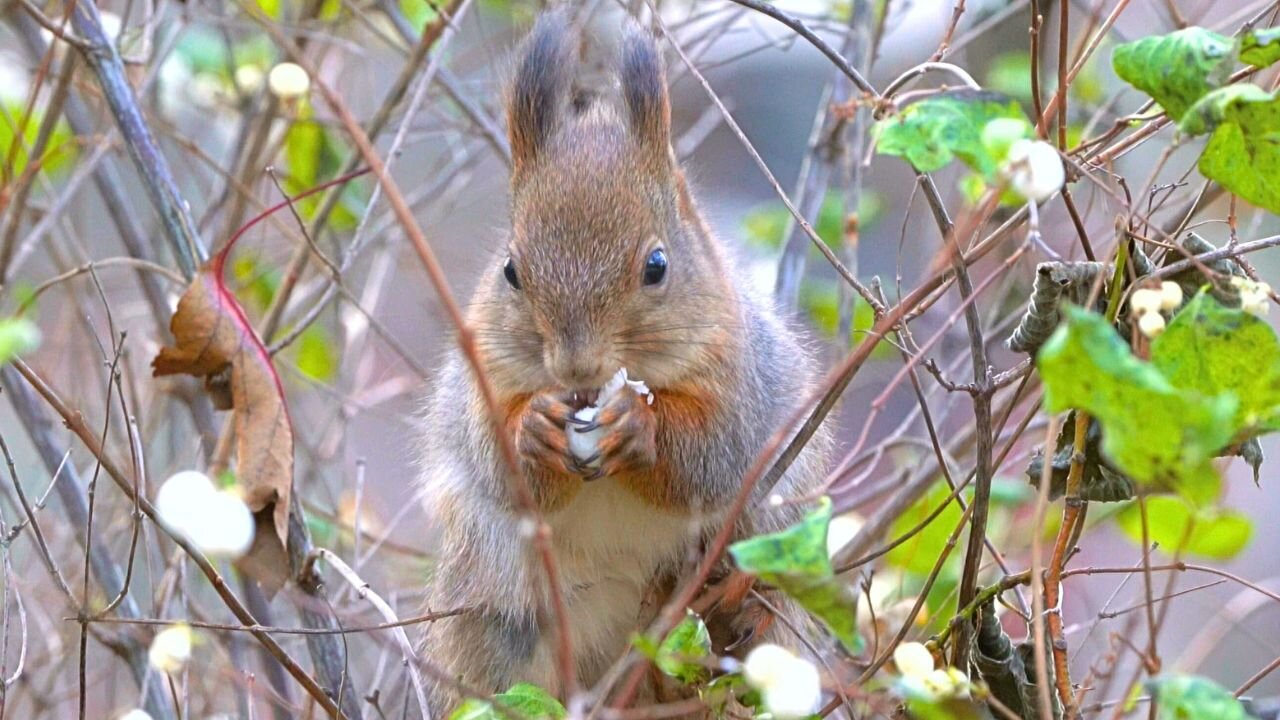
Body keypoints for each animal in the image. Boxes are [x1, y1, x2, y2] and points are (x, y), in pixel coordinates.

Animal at [417, 9, 829, 712]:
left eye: (657, 265)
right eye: (510, 271)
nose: (576, 369)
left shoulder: (743, 379)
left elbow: (712, 455)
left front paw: (640, 428)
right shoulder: (481, 378)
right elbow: (497, 465)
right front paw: (532, 432)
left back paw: (742, 617)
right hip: (493, 628)